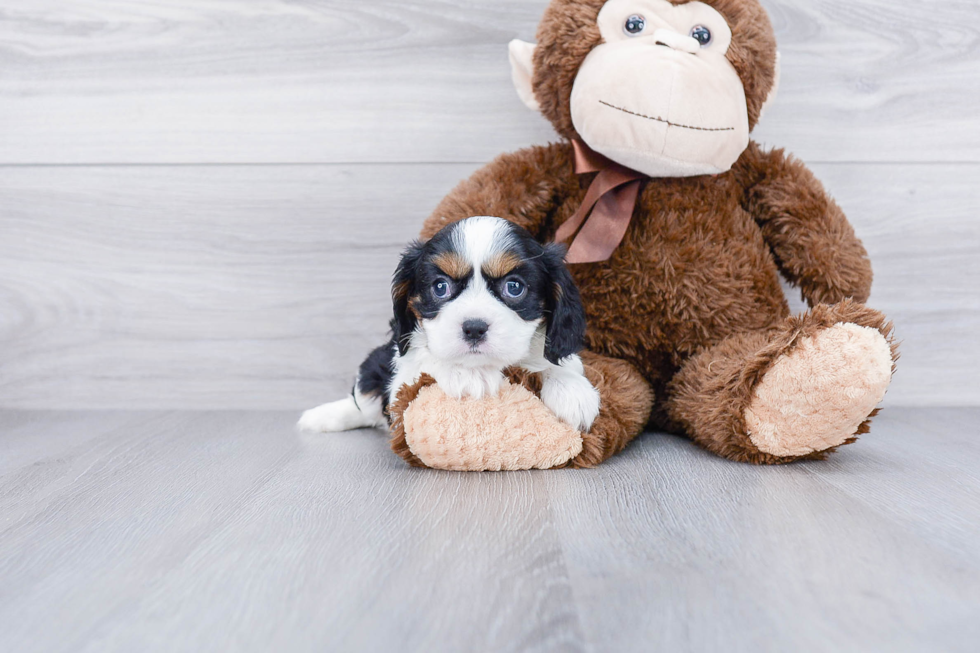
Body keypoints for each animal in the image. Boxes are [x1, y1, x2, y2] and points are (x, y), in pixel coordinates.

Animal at [294, 216, 600, 436]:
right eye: (440, 287)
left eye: (514, 287)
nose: (474, 327)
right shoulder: (402, 375)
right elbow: (427, 362)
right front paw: (468, 375)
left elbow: (550, 365)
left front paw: (571, 388)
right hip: (372, 368)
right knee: (362, 402)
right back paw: (321, 417)